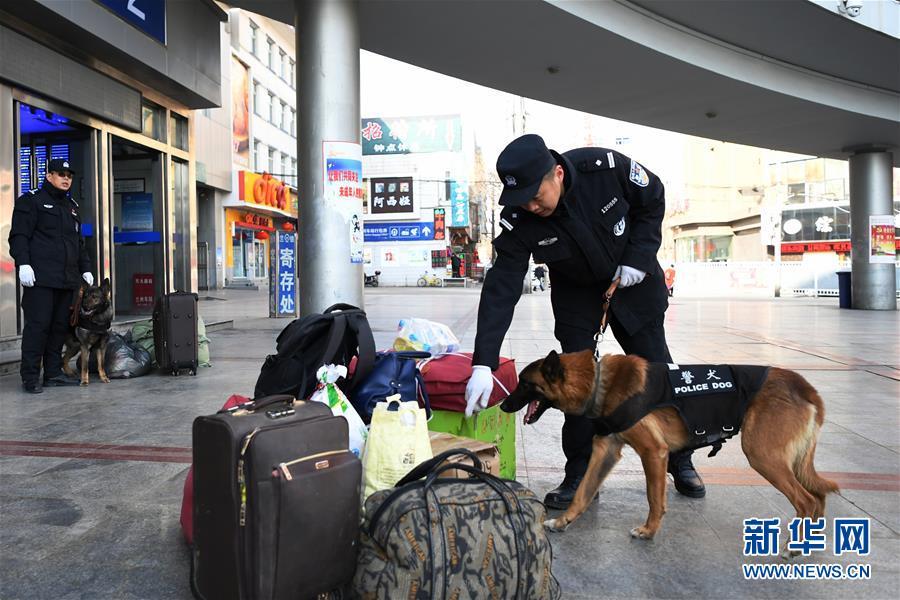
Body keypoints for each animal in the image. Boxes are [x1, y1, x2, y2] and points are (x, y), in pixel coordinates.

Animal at [502, 350, 840, 556]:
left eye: (524, 384)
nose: (503, 405)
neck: (598, 381)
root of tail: (804, 386)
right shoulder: (605, 451)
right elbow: (583, 493)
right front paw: (562, 523)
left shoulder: (653, 452)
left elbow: (654, 498)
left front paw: (649, 531)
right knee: (817, 497)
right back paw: (809, 541)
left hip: (762, 455)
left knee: (807, 500)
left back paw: (795, 546)